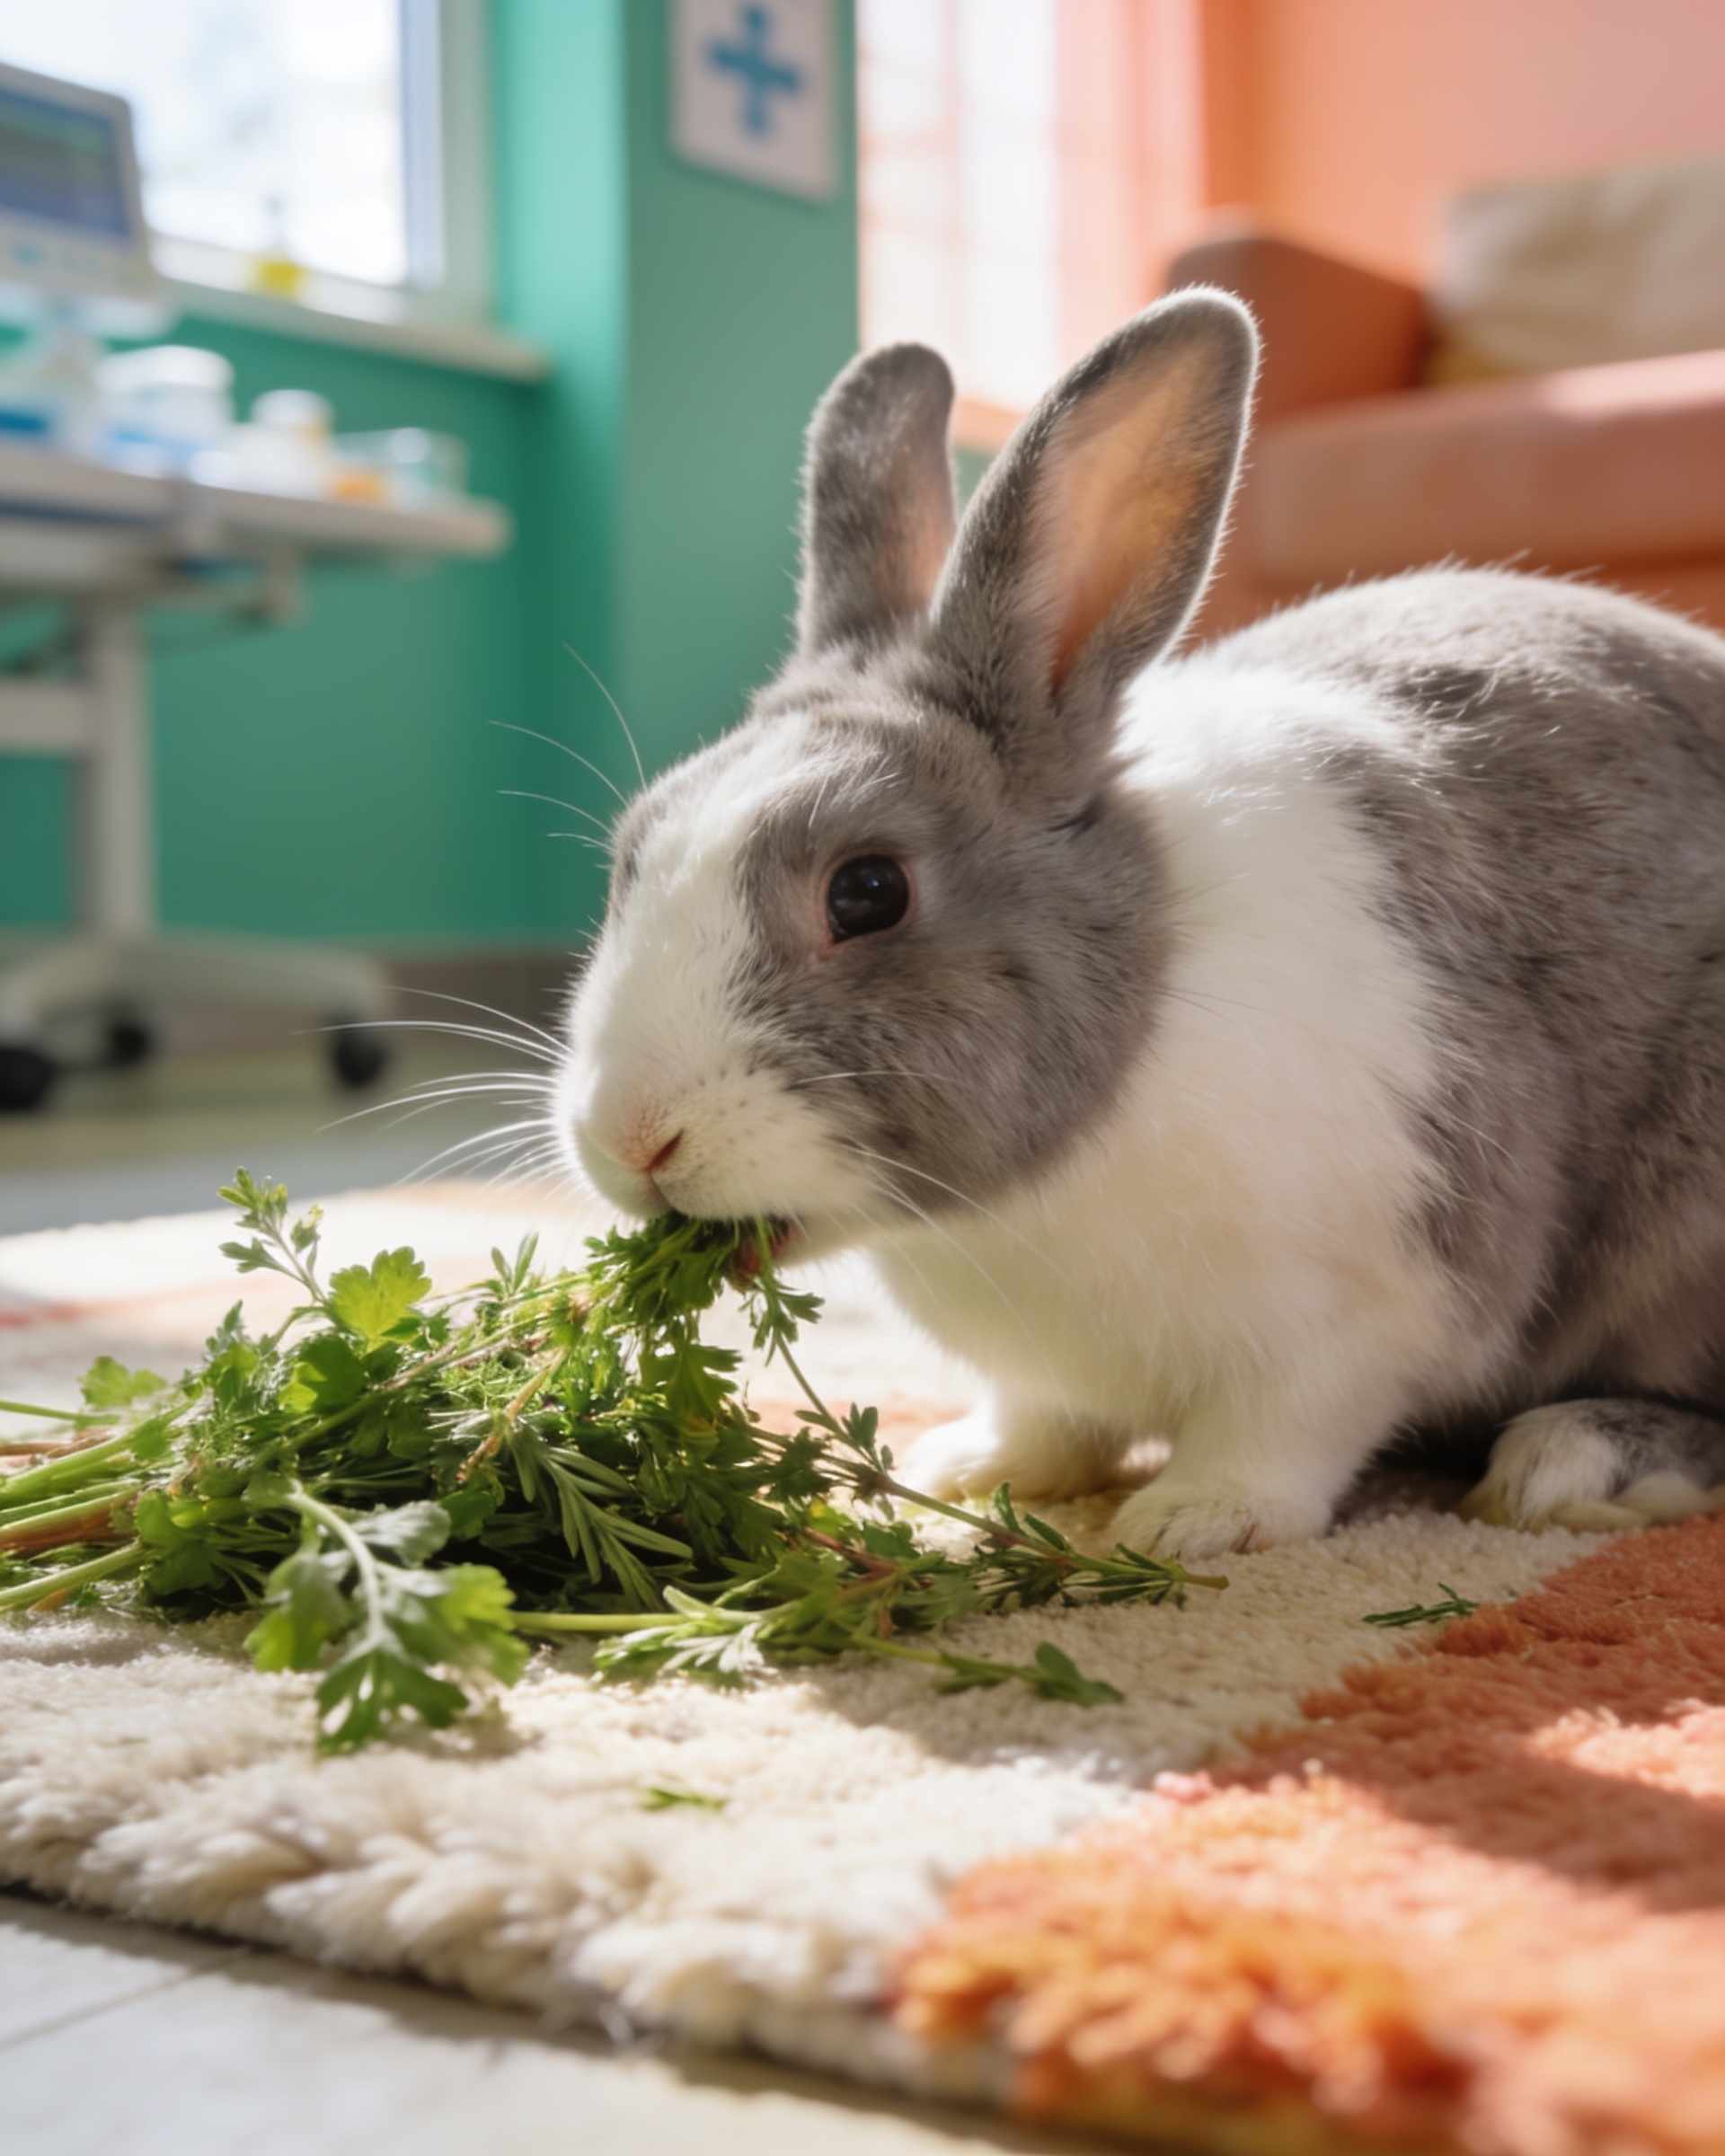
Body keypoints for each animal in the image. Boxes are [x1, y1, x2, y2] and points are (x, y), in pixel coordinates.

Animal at [554, 286, 1725, 1562]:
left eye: (866, 892)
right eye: (631, 852)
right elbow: (1045, 1422)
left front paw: (1188, 1523)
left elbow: (1285, 1434)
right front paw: (966, 1470)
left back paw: (1573, 1466)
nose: (634, 1140)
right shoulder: (1051, 1373)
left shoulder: (1369, 1310)